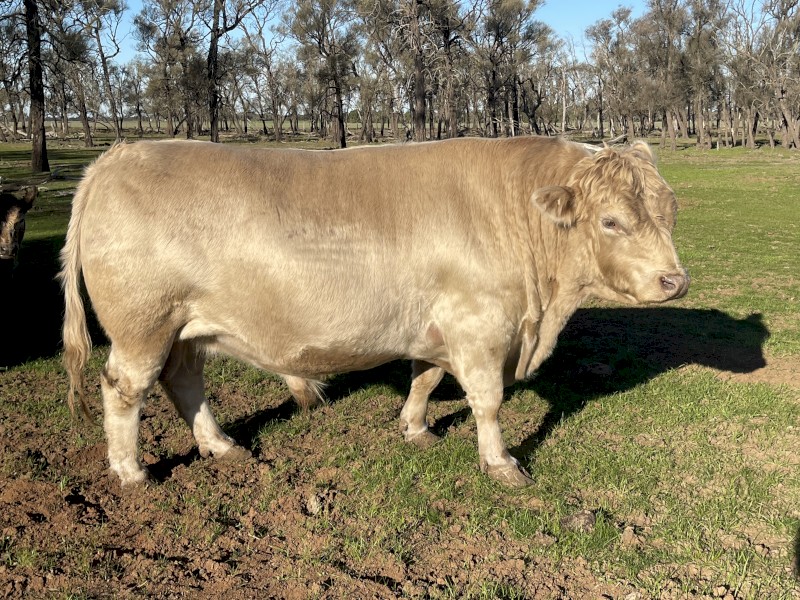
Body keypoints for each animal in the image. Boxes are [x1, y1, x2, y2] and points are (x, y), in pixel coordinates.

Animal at [59, 136, 689, 488]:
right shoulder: (479, 326)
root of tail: (117, 156)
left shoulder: (435, 326)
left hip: (185, 328)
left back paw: (221, 446)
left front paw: (416, 429)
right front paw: (501, 463)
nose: (675, 280)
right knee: (126, 389)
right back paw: (132, 472)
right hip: (143, 326)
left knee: (185, 382)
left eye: (669, 211)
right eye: (611, 220)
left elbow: (426, 378)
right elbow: (486, 400)